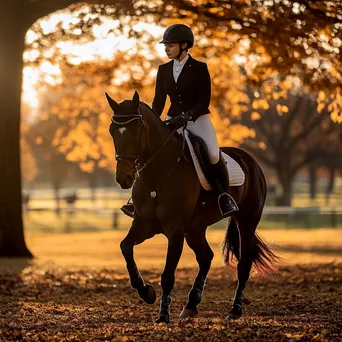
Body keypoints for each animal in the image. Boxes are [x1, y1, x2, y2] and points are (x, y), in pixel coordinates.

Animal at [105, 91, 278, 324]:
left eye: (135, 130)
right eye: (112, 131)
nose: (123, 178)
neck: (158, 171)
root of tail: (252, 162)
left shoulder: (175, 230)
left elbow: (168, 274)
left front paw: (163, 314)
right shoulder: (145, 225)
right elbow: (125, 247)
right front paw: (146, 291)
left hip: (246, 223)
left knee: (243, 265)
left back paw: (234, 310)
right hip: (195, 229)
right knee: (206, 257)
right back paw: (191, 304)